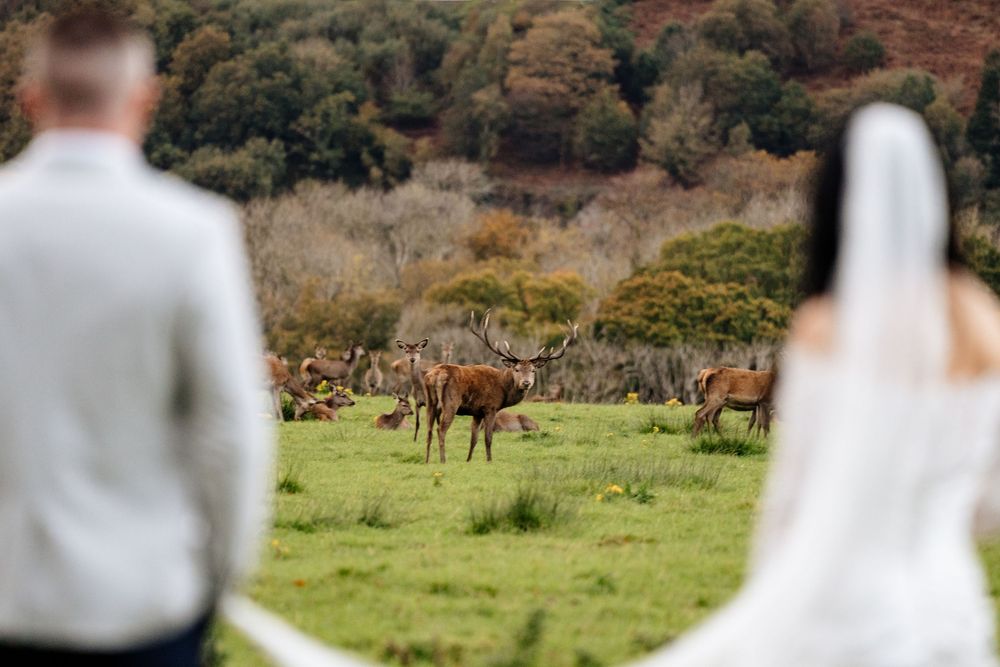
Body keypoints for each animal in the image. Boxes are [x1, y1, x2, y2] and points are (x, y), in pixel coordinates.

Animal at [424, 309, 578, 463]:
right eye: (517, 369)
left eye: (533, 370)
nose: (526, 383)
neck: (503, 390)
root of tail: (435, 375)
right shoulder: (490, 407)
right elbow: (488, 438)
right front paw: (489, 460)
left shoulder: (476, 412)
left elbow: (473, 439)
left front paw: (468, 460)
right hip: (451, 402)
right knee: (440, 429)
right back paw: (443, 460)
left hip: (430, 402)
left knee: (429, 429)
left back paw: (427, 460)